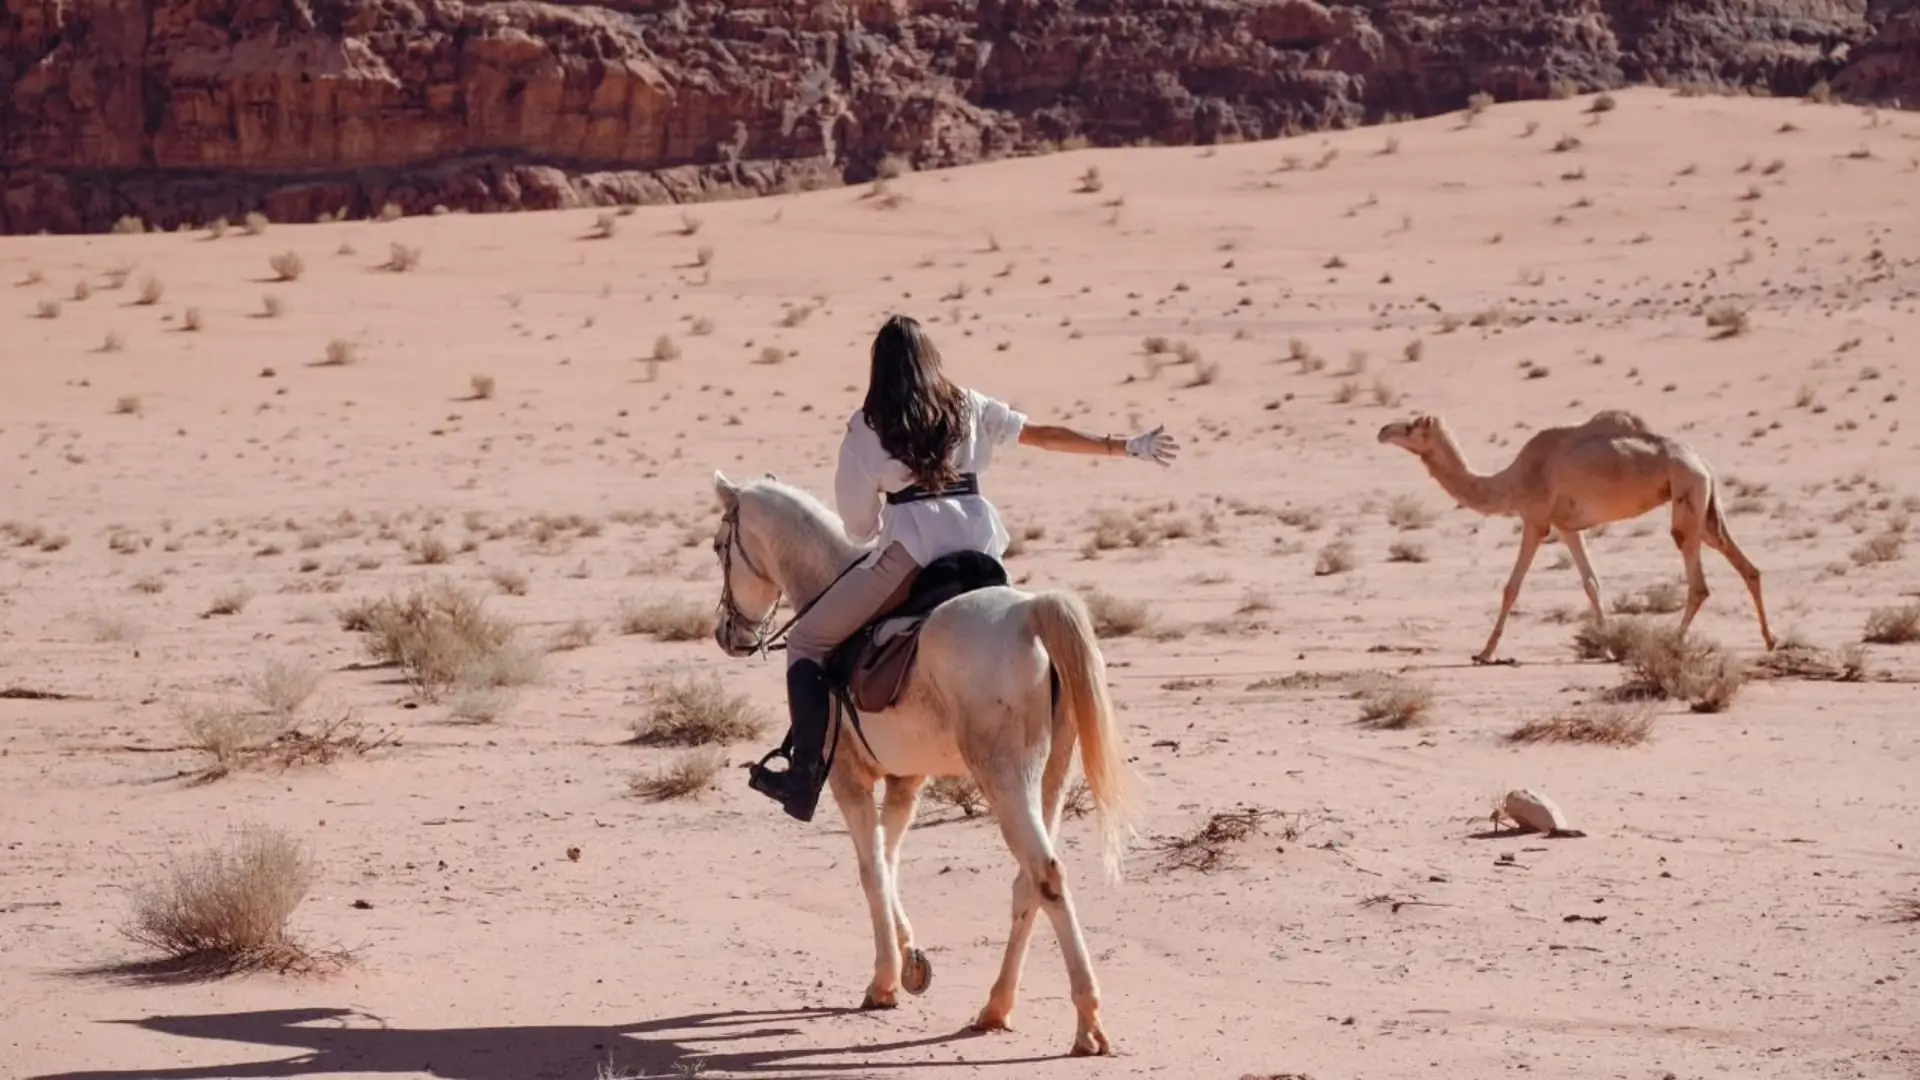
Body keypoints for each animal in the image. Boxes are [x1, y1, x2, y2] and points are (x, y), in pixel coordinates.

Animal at [706, 470, 1140, 1057]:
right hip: (1048, 778)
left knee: (1045, 874)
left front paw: (884, 982)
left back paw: (1088, 1022)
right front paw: (910, 961)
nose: (727, 635)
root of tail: (1028, 614)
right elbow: (889, 860)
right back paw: (996, 1007)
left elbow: (870, 869)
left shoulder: (849, 779)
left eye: (719, 547)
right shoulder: (905, 782)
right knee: (1028, 881)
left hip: (1005, 780)